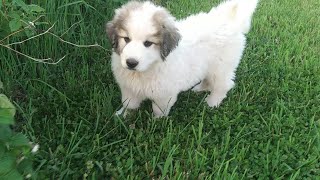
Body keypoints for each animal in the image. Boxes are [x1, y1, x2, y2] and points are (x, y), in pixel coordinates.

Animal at [106, 0, 258, 117]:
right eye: (126, 39)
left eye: (148, 43)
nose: (131, 62)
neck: (149, 67)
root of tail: (229, 20)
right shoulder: (129, 88)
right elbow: (129, 104)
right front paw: (122, 116)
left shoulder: (164, 94)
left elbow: (159, 109)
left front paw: (157, 123)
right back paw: (199, 89)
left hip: (221, 67)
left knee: (224, 85)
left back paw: (212, 103)